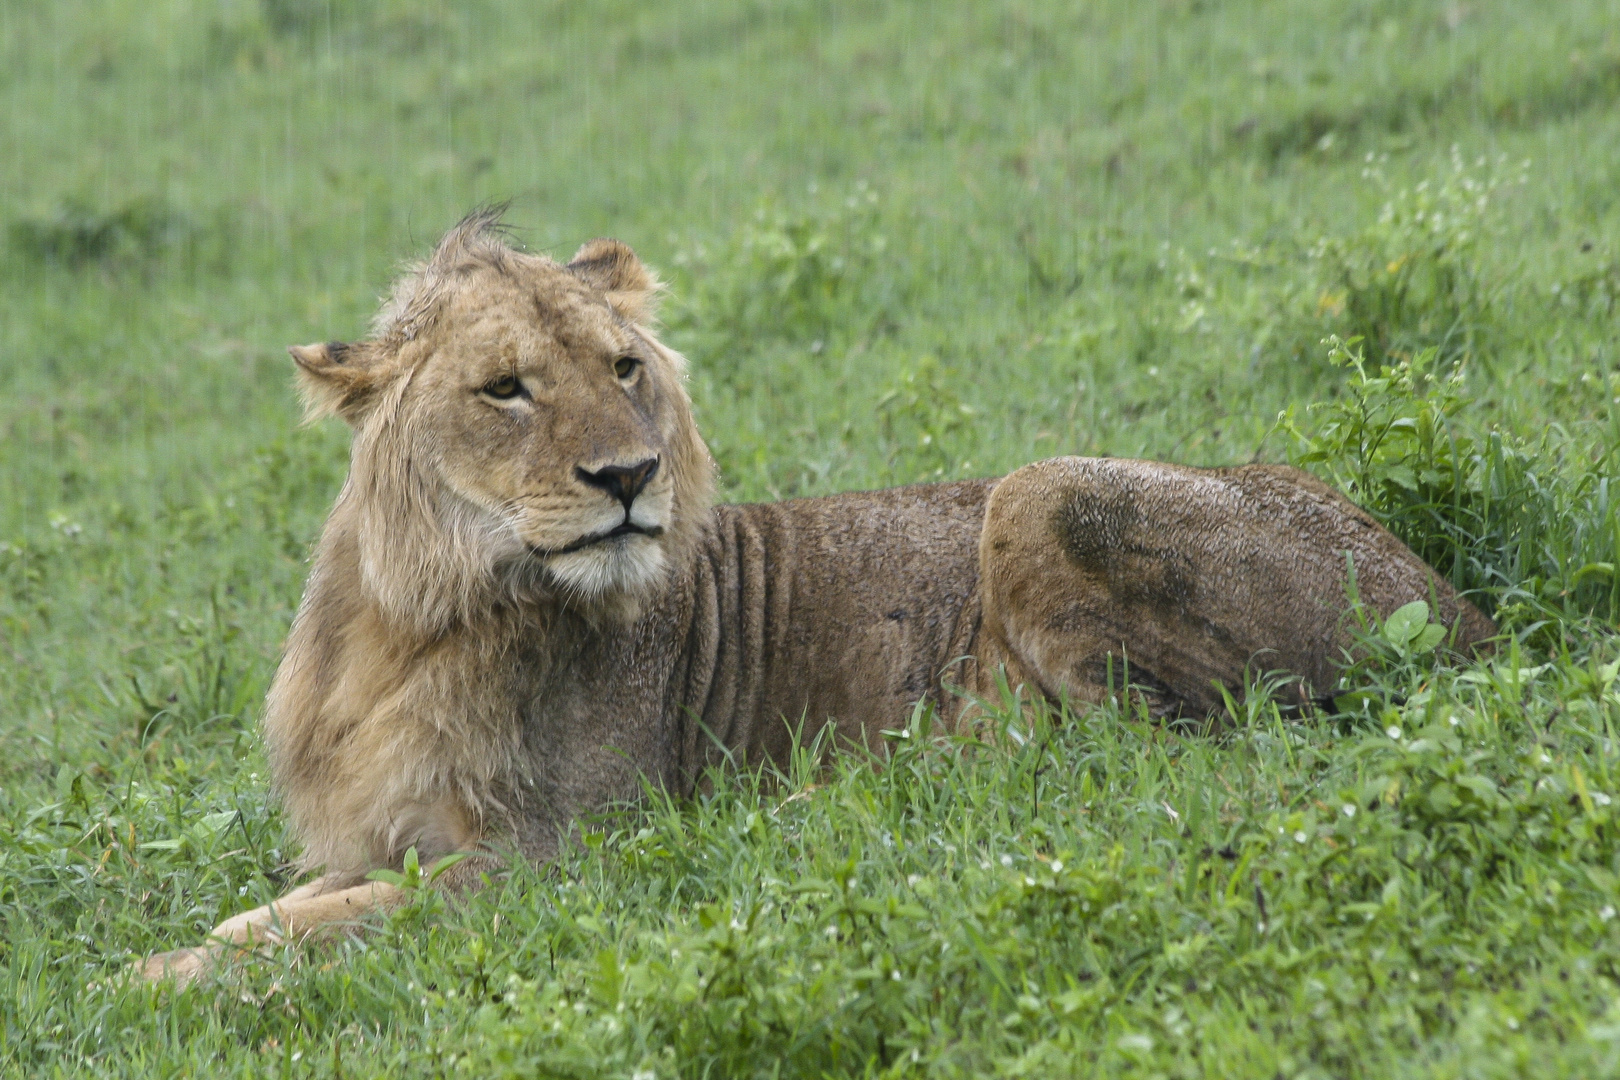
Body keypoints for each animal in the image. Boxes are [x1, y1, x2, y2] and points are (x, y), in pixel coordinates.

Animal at [139, 207, 1490, 984]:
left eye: (622, 369)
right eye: (505, 389)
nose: (628, 477)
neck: (415, 623)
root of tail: (1454, 602)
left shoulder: (565, 859)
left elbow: (333, 924)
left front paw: (155, 981)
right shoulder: (384, 837)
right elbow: (293, 905)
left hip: (1039, 493)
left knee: (1155, 751)